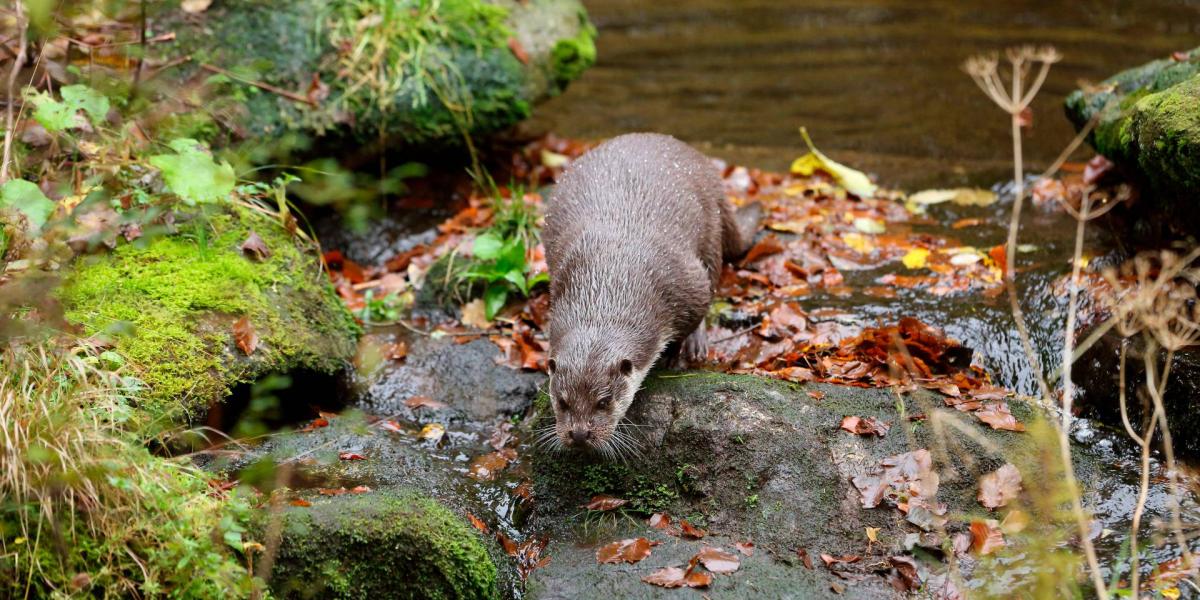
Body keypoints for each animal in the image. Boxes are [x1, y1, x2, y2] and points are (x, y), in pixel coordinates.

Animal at [544, 133, 758, 456]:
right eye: (562, 402)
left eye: (604, 401)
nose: (579, 434)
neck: (610, 274)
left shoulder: (686, 283)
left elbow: (698, 306)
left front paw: (674, 353)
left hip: (710, 227)